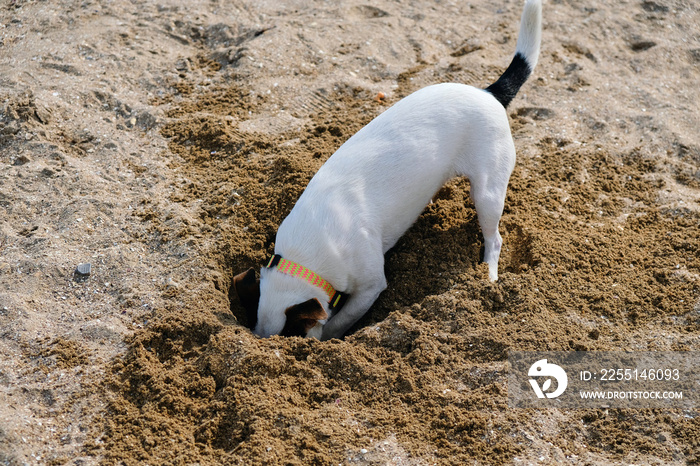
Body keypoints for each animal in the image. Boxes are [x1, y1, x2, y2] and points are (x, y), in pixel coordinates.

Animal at [234, 0, 540, 342]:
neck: (307, 252)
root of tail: (490, 93)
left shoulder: (370, 286)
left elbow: (341, 320)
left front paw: (332, 337)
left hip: (488, 193)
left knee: (495, 238)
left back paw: (488, 273)